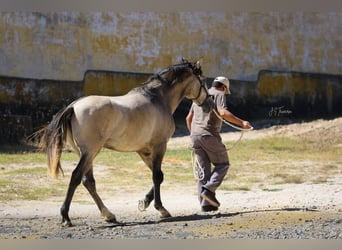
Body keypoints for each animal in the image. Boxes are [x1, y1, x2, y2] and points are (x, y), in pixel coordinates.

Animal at [37, 59, 214, 227]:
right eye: (203, 80)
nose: (210, 104)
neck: (158, 99)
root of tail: (73, 107)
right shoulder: (159, 145)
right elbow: (157, 176)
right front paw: (161, 209)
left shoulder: (143, 150)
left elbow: (159, 175)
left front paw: (144, 202)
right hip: (90, 152)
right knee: (76, 177)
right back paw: (66, 217)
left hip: (85, 153)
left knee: (88, 182)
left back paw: (108, 215)